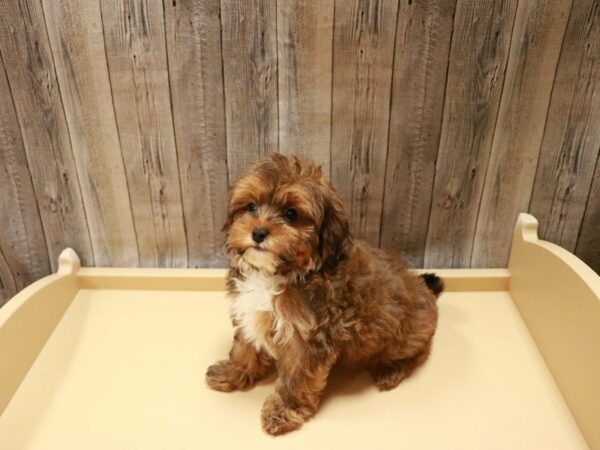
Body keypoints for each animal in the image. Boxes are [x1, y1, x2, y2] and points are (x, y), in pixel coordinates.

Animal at [204, 155, 442, 436]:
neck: (280, 274)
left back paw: (391, 370)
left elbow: (296, 378)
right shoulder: (248, 313)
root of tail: (424, 288)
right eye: (251, 206)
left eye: (291, 214)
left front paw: (284, 410)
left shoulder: (307, 339)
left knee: (418, 351)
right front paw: (232, 372)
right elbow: (244, 347)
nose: (259, 232)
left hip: (405, 335)